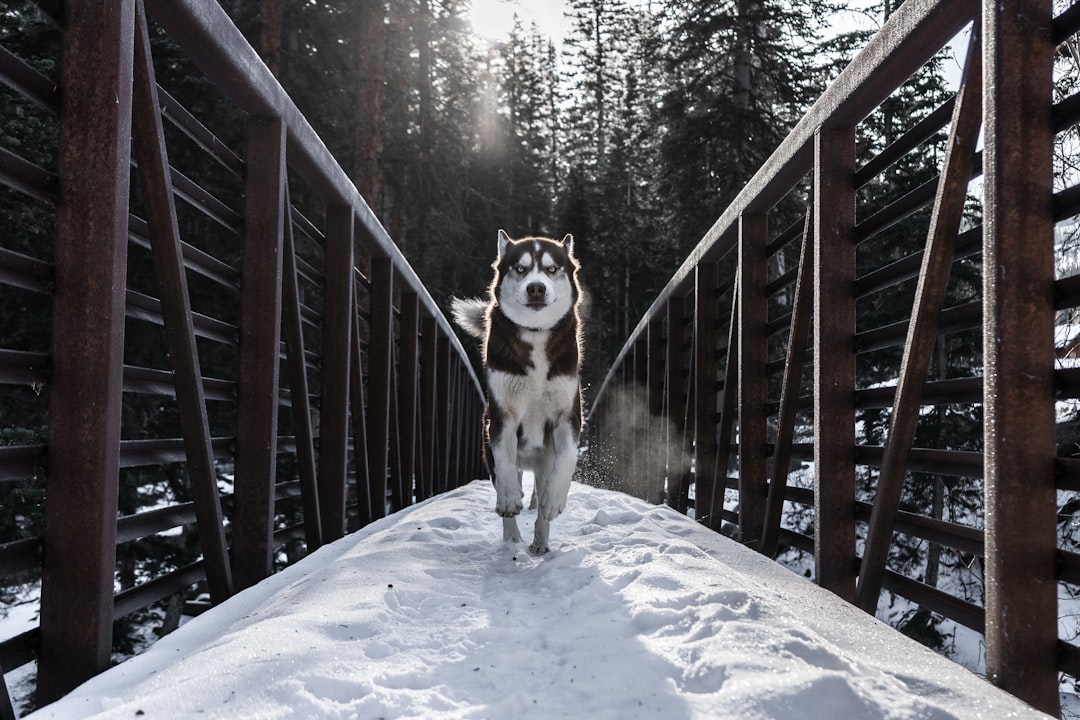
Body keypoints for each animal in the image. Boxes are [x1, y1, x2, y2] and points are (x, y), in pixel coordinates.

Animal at [449, 227, 583, 557]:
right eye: (520, 269)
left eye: (552, 269)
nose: (536, 288)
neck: (534, 336)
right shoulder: (500, 416)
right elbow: (505, 463)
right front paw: (510, 498)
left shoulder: (568, 415)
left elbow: (567, 458)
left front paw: (554, 500)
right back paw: (512, 536)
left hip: (544, 457)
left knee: (542, 494)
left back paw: (540, 541)